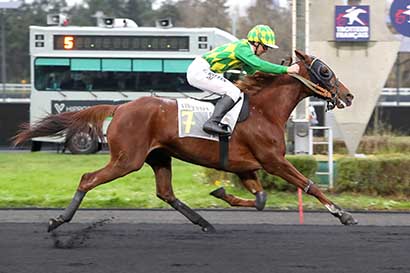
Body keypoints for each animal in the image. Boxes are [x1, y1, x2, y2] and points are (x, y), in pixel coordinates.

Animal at [13, 50, 356, 231]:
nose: (349, 95)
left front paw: (221, 193)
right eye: (325, 71)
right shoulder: (274, 161)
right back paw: (59, 220)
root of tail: (120, 107)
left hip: (159, 156)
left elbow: (260, 199)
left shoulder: (246, 167)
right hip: (127, 159)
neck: (263, 111)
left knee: (166, 193)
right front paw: (344, 214)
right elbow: (308, 185)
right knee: (88, 178)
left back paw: (203, 221)